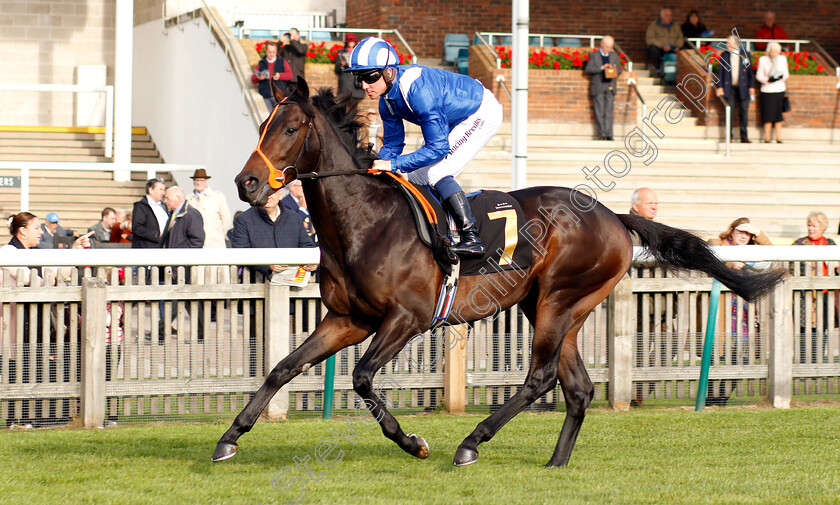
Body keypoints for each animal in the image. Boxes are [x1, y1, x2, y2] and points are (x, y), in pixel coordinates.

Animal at [213, 77, 784, 466]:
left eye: (290, 128)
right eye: (261, 127)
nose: (246, 183)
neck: (365, 222)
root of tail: (615, 217)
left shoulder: (406, 319)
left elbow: (362, 377)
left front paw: (414, 442)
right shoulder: (347, 319)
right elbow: (282, 368)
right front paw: (228, 438)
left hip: (559, 299)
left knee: (540, 378)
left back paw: (471, 443)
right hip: (553, 306)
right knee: (577, 387)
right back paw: (555, 463)